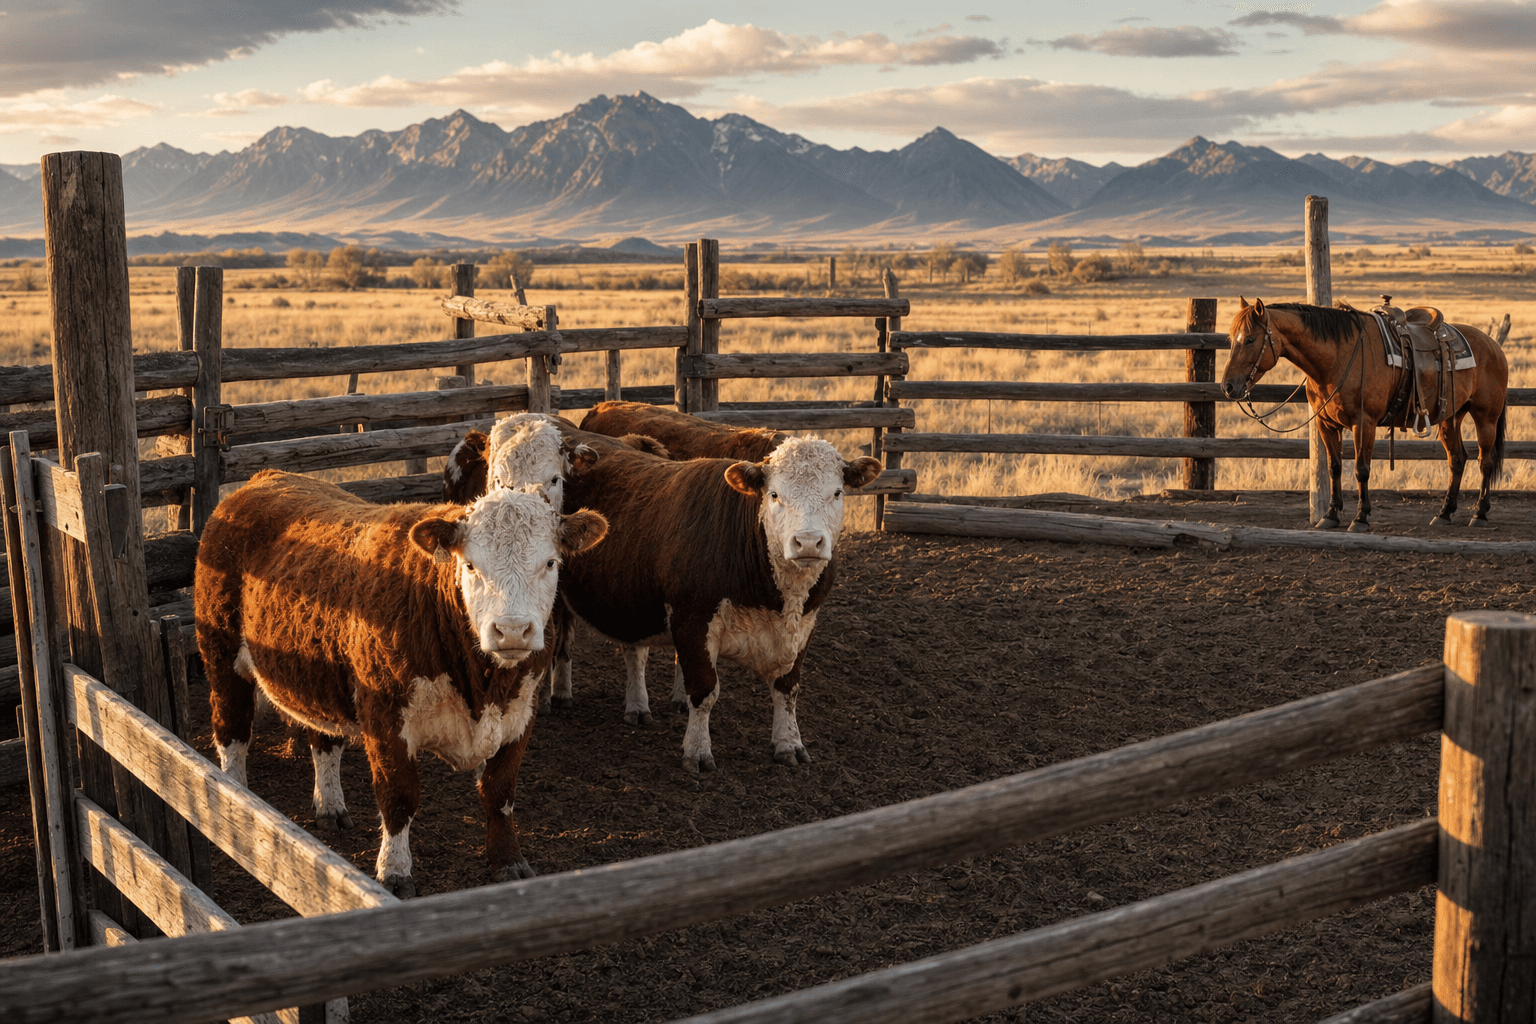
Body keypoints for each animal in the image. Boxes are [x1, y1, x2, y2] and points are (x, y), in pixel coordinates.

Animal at [196, 470, 607, 896]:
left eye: (550, 562)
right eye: (470, 566)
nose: (511, 631)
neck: (483, 687)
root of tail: (262, 479)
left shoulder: (521, 712)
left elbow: (499, 791)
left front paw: (508, 861)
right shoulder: (385, 717)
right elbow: (399, 797)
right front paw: (394, 872)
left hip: (318, 675)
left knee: (324, 739)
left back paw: (330, 805)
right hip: (221, 656)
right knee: (231, 731)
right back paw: (235, 800)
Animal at [559, 436, 881, 772]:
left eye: (837, 492)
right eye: (774, 494)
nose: (807, 542)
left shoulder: (804, 626)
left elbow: (787, 689)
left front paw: (789, 744)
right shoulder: (693, 620)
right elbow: (704, 691)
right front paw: (698, 752)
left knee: (634, 650)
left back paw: (637, 706)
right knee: (563, 644)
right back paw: (559, 696)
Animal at [1220, 297, 1508, 532]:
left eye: (1250, 339)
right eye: (1230, 339)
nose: (1228, 386)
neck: (1338, 357)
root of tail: (1493, 345)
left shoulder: (1364, 423)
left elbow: (1361, 469)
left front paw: (1360, 518)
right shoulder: (1326, 424)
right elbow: (1334, 467)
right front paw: (1331, 515)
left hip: (1486, 418)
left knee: (1485, 461)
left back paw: (1479, 514)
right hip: (1450, 417)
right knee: (1457, 460)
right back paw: (1444, 513)